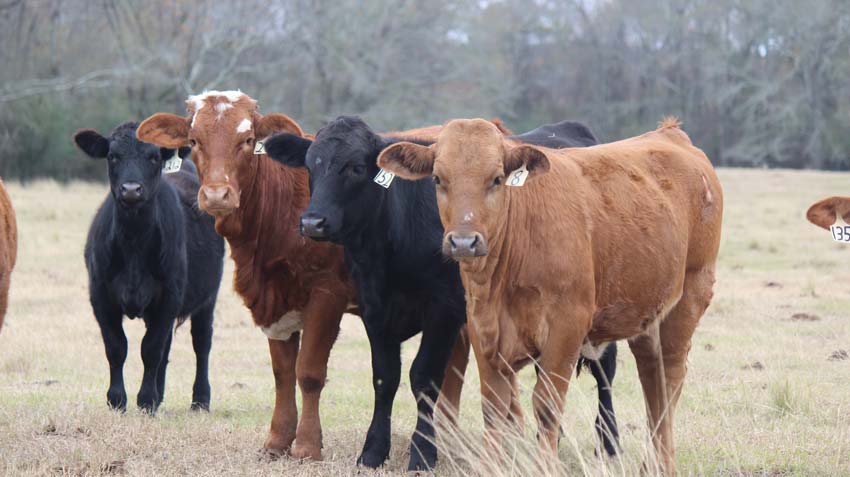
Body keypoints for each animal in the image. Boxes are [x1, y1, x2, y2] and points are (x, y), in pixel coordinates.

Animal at [75, 122, 225, 412]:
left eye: (154, 157)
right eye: (113, 156)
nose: (131, 189)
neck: (133, 241)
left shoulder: (169, 295)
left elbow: (151, 349)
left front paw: (145, 399)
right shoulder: (100, 295)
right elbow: (116, 347)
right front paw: (117, 399)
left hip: (208, 296)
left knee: (201, 342)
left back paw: (200, 399)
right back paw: (160, 393)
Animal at [266, 116, 624, 468]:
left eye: (355, 167)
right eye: (310, 165)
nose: (312, 222)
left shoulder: (443, 312)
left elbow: (423, 377)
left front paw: (423, 453)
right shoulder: (375, 309)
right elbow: (385, 377)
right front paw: (373, 451)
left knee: (604, 376)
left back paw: (608, 447)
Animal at [380, 116, 724, 472]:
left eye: (497, 179)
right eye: (438, 178)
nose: (463, 242)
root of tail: (670, 134)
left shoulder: (566, 328)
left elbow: (546, 405)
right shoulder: (481, 327)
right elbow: (494, 406)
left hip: (687, 302)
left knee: (669, 383)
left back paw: (663, 464)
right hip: (646, 317)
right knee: (652, 382)